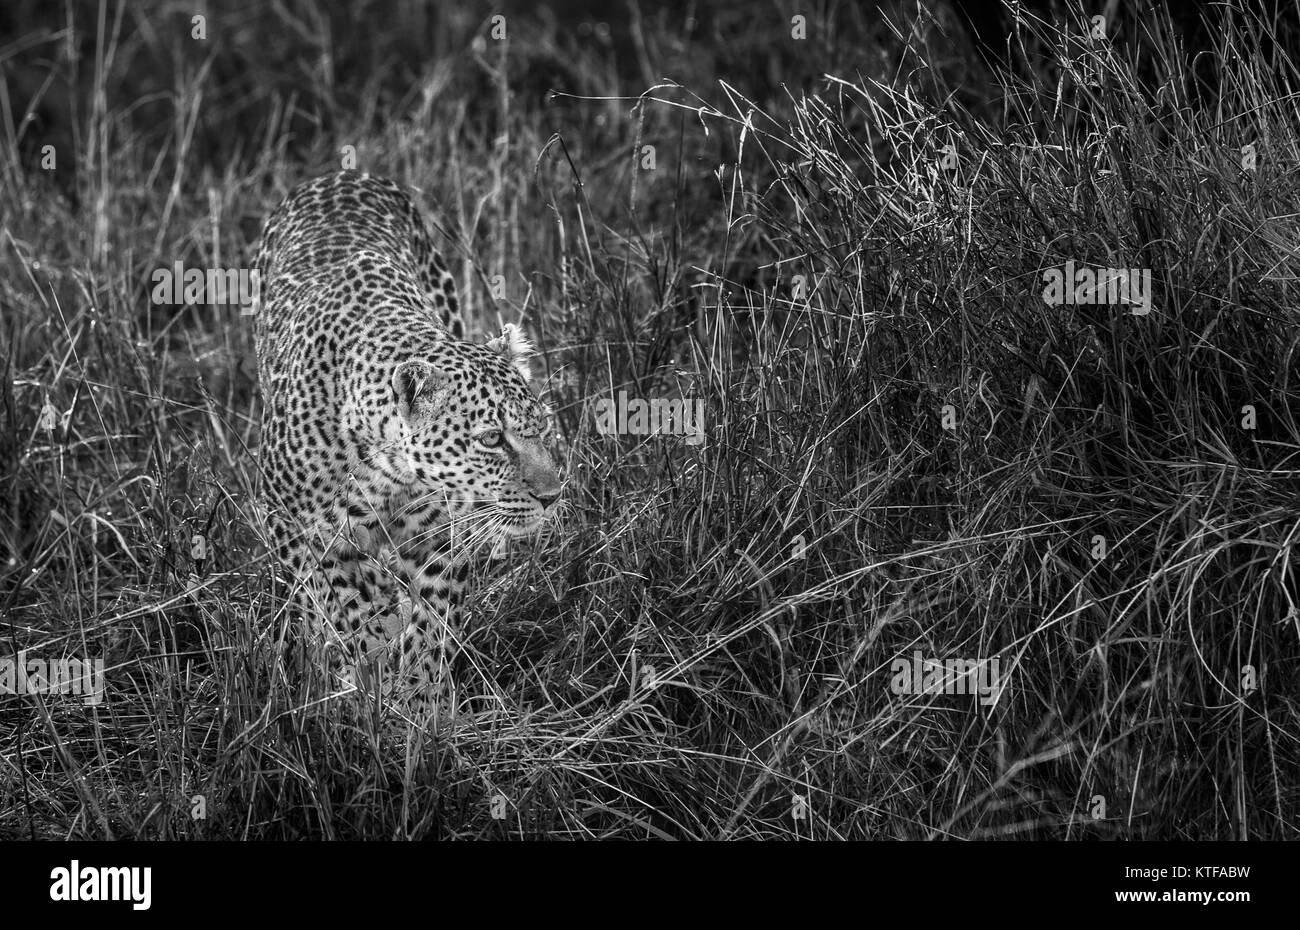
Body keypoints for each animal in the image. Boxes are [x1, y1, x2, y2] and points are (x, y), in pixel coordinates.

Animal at [250, 170, 561, 723]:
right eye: (492, 438)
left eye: (539, 426)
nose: (550, 496)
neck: (389, 470)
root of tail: (342, 173)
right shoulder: (290, 526)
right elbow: (339, 601)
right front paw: (370, 667)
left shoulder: (441, 535)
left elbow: (432, 621)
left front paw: (422, 702)